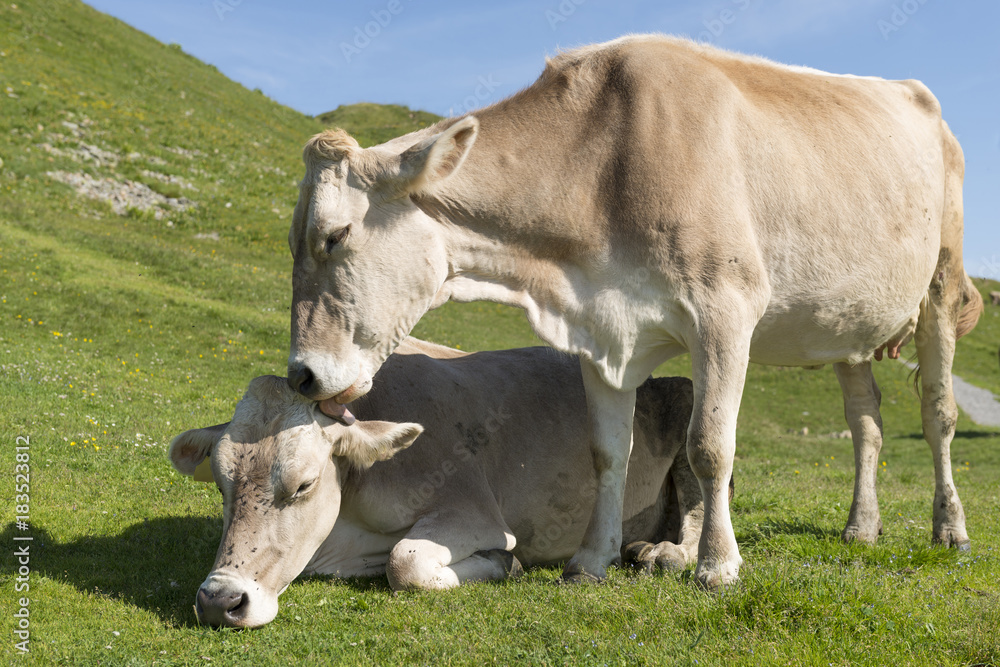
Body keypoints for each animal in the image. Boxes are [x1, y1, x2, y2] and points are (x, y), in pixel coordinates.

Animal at [170, 340, 704, 628]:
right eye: (222, 486)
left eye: (303, 485)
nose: (219, 601)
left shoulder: (472, 511)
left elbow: (404, 561)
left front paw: (504, 564)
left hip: (690, 407)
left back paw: (664, 553)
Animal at [284, 37, 984, 588]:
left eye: (336, 235)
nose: (301, 375)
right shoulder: (602, 333)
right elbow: (606, 452)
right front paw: (592, 561)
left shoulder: (725, 311)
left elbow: (710, 446)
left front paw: (717, 565)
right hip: (846, 322)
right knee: (866, 420)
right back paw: (861, 527)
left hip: (941, 284)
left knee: (938, 414)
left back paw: (950, 528)